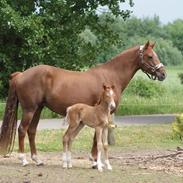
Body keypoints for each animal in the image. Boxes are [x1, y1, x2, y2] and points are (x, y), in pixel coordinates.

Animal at [0, 41, 166, 166]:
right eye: (150, 56)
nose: (163, 74)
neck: (111, 76)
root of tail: (21, 74)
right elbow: (96, 139)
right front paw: (94, 161)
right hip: (29, 109)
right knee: (22, 130)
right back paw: (23, 160)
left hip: (38, 109)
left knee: (32, 131)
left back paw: (37, 160)